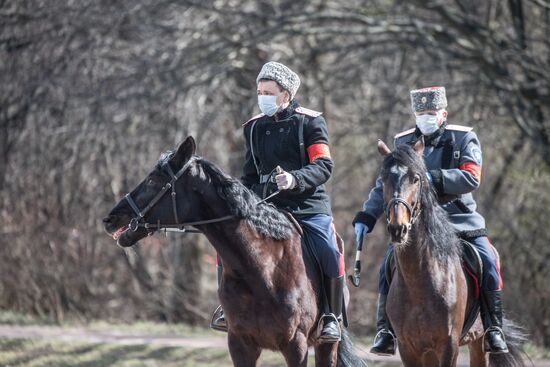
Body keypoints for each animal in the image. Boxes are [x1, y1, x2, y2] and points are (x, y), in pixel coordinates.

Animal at [103, 137, 366, 367]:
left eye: (153, 181)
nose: (110, 219)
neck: (262, 269)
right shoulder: (240, 344)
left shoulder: (296, 346)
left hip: (326, 344)